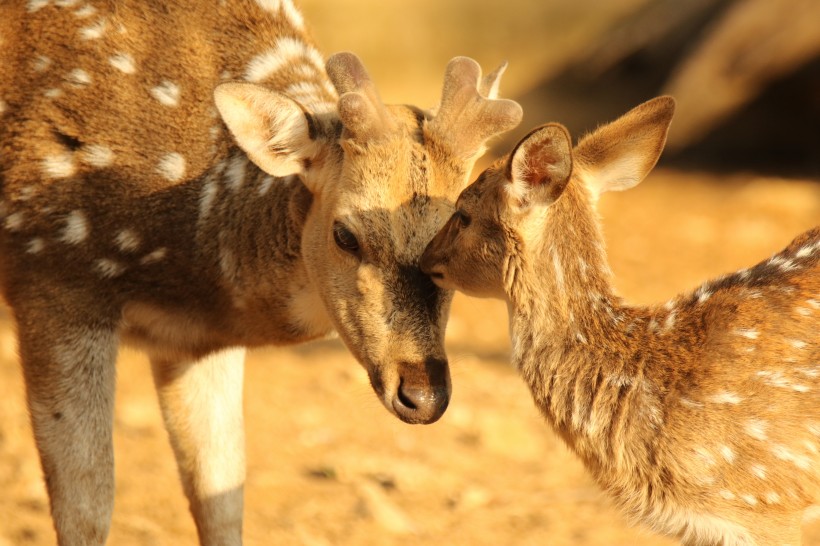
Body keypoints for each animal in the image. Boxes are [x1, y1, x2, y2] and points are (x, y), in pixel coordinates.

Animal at [0, 1, 524, 544]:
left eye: (456, 235)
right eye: (345, 235)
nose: (423, 395)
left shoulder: (194, 339)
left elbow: (221, 494)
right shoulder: (52, 273)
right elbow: (86, 506)